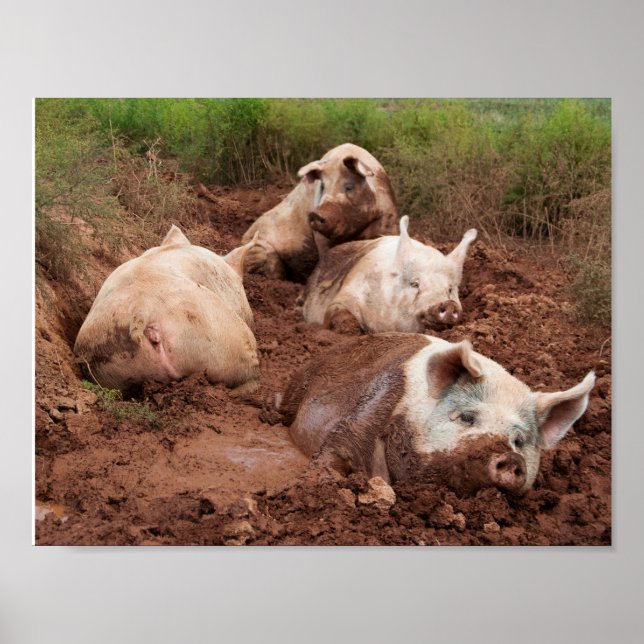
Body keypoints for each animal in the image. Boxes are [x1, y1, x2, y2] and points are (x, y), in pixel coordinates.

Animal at [241, 143, 398, 282]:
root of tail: (242, 239)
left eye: (349, 186)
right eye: (323, 186)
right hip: (259, 248)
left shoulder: (388, 219)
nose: (315, 214)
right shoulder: (320, 237)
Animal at [280, 333, 595, 495]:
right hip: (295, 390)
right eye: (467, 417)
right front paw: (316, 484)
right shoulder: (367, 412)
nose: (511, 459)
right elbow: (336, 451)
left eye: (519, 441)